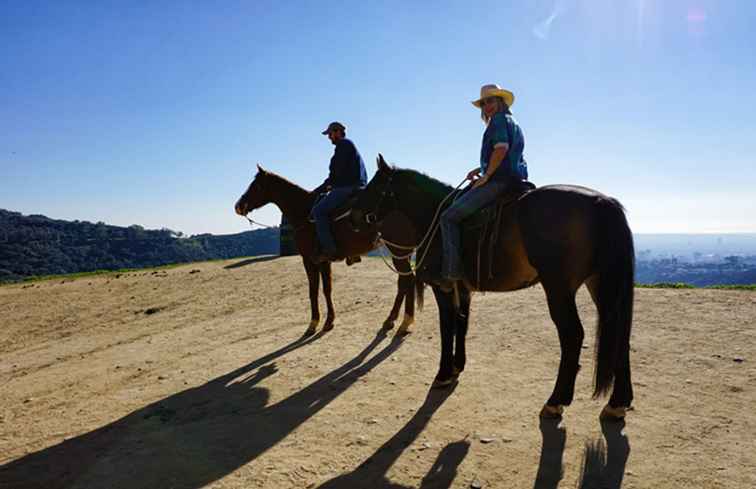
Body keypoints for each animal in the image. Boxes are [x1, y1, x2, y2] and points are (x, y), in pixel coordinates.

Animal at [235, 166, 420, 338]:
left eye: (256, 185)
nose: (238, 206)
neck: (304, 211)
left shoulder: (310, 260)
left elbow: (316, 291)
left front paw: (316, 323)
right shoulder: (323, 261)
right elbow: (325, 289)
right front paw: (327, 321)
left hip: (398, 249)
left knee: (407, 280)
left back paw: (404, 322)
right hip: (400, 251)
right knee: (403, 282)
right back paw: (392, 320)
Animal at [352, 156, 636, 420]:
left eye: (375, 185)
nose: (354, 214)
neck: (435, 218)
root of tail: (601, 202)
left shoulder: (443, 288)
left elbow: (446, 327)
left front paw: (443, 374)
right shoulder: (463, 289)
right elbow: (461, 324)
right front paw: (457, 367)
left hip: (559, 289)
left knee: (572, 335)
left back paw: (556, 401)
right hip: (599, 284)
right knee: (619, 334)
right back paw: (617, 403)